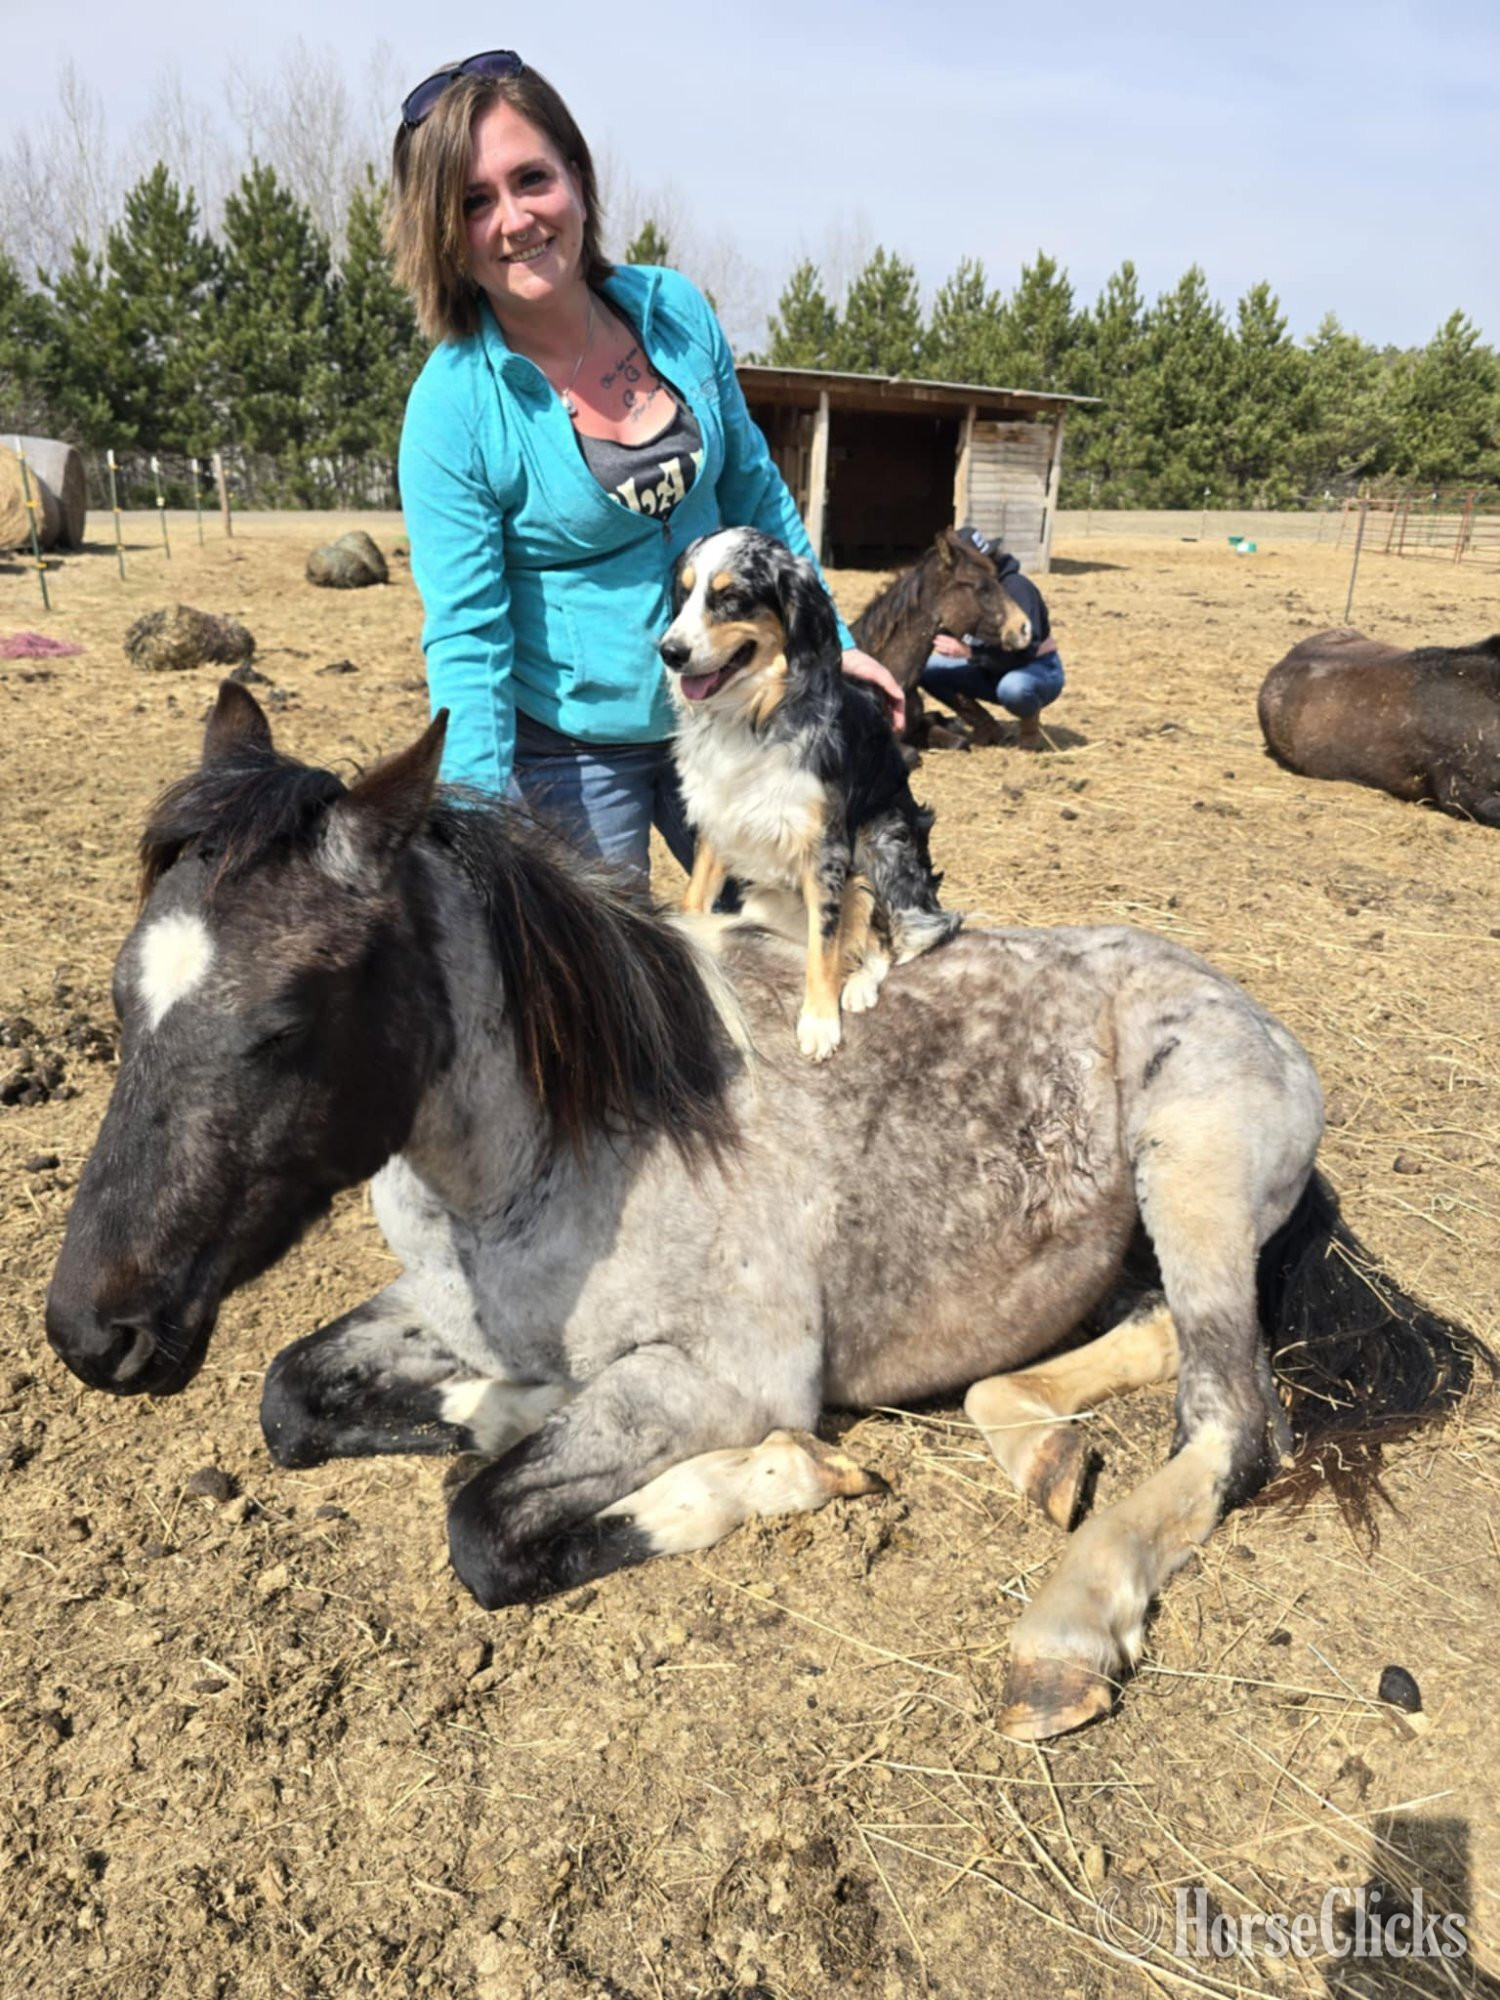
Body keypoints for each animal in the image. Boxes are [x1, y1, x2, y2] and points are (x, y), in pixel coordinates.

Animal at [46, 683, 1484, 1742]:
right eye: (118, 999)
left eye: (286, 1024)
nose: (91, 1333)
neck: (563, 1149)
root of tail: (1250, 1012)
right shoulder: (440, 1311)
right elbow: (295, 1398)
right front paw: (503, 1403)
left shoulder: (734, 1374)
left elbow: (485, 1529)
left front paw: (778, 1475)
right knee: (1139, 1339)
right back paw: (1037, 1448)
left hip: (1192, 1173)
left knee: (1233, 1419)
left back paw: (1062, 1638)